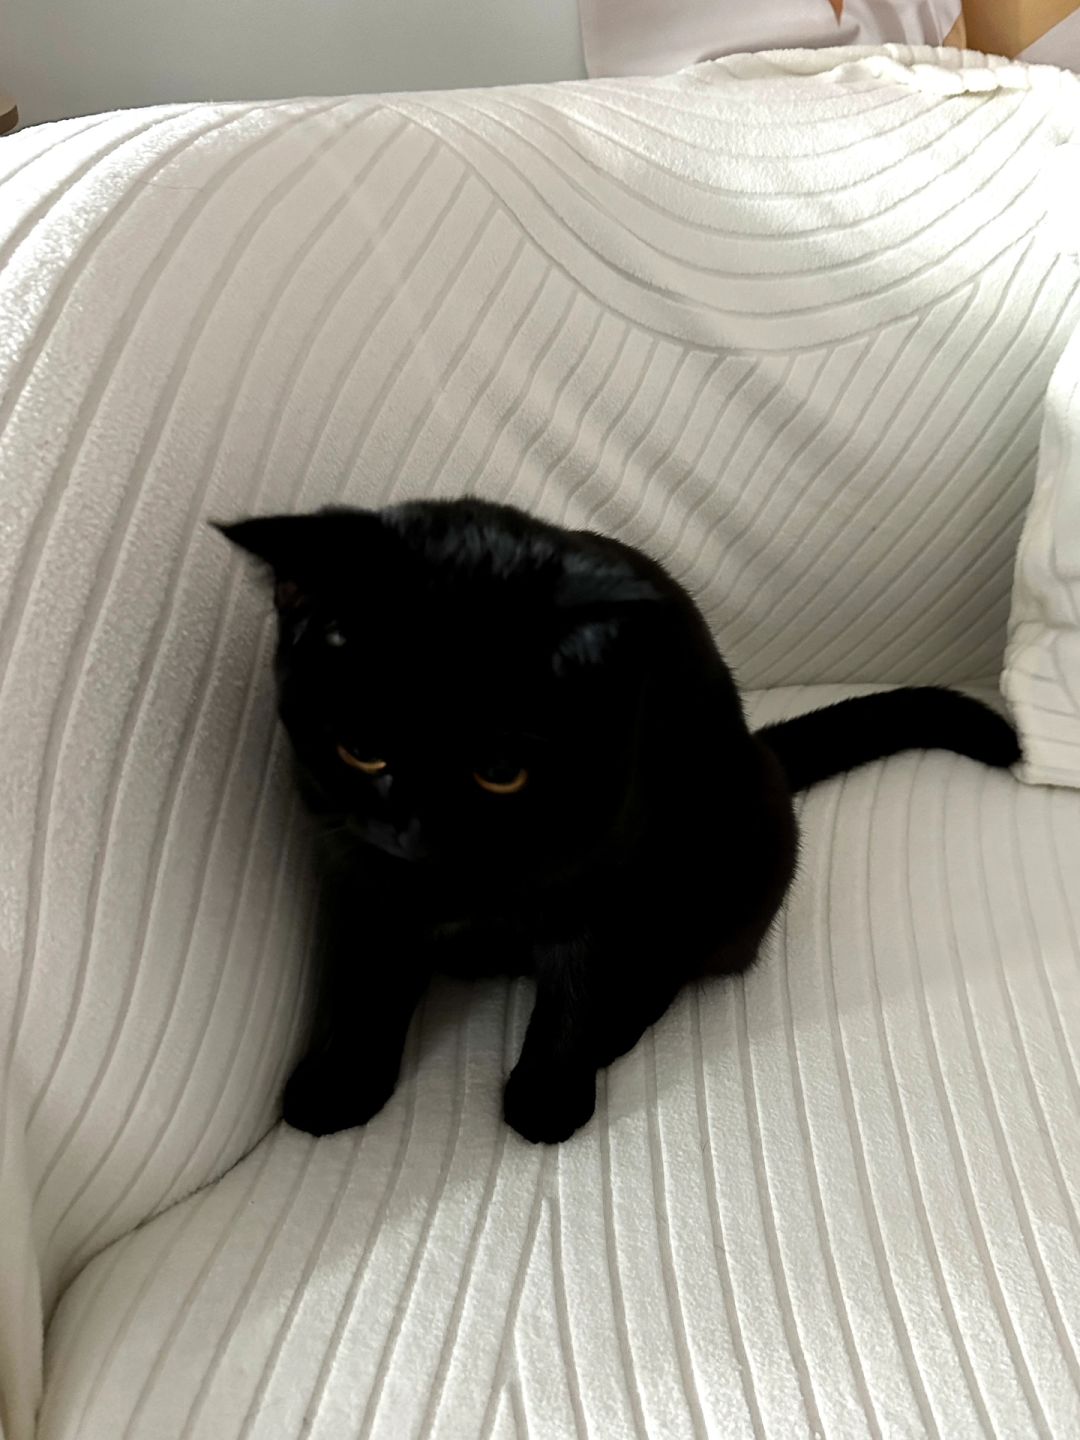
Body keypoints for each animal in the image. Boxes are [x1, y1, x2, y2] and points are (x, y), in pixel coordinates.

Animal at [218, 497, 1021, 1144]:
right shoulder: (358, 869)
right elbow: (367, 982)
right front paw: (341, 1084)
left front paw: (550, 1093)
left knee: (677, 961)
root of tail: (760, 747)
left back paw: (613, 1030)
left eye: (502, 771)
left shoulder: (601, 878)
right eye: (360, 750)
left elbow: (574, 990)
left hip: (734, 842)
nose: (417, 831)